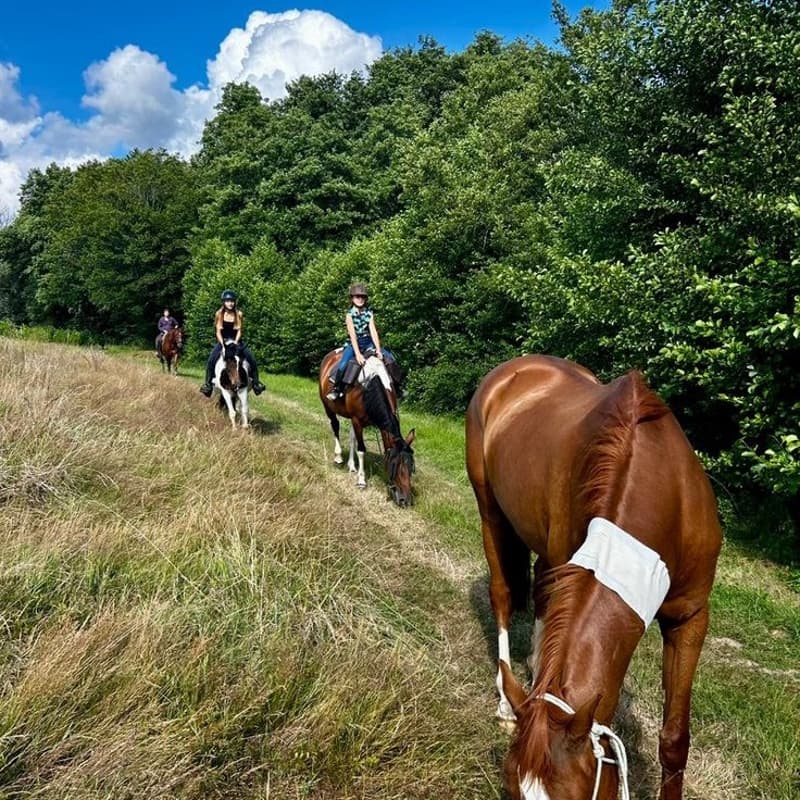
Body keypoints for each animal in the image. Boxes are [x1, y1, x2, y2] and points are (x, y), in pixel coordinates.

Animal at [319, 349, 416, 506]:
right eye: (395, 465)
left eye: (411, 466)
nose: (405, 500)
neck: (369, 386)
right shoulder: (357, 420)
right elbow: (361, 450)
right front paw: (361, 480)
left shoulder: (358, 420)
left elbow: (355, 441)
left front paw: (355, 469)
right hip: (328, 407)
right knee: (335, 426)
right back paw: (338, 457)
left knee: (351, 437)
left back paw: (351, 466)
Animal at [465, 355, 721, 800]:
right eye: (513, 790)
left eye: (578, 796)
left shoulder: (690, 617)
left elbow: (675, 739)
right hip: (490, 512)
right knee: (503, 593)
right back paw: (506, 697)